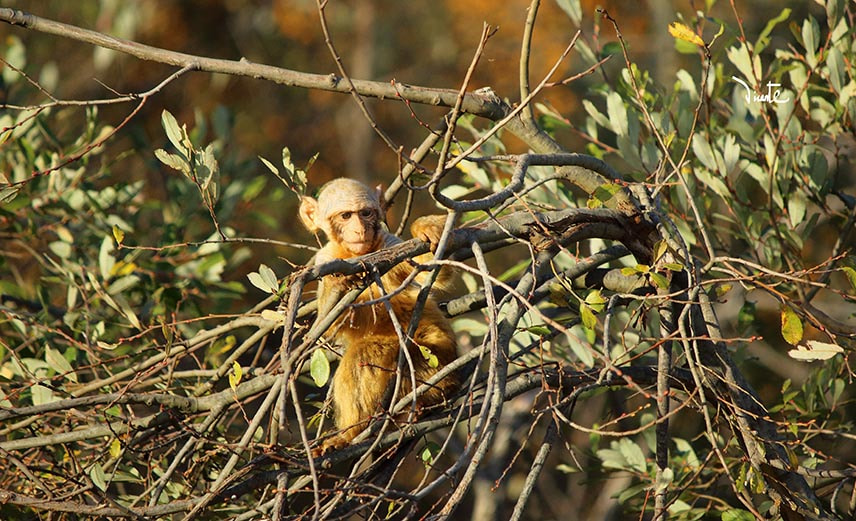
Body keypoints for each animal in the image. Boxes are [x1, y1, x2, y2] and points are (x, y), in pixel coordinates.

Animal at [298, 178, 459, 455]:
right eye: (345, 216)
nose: (359, 229)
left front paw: (426, 227)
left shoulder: (388, 246)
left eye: (365, 213)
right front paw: (336, 285)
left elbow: (438, 271)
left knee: (366, 354)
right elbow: (325, 326)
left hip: (436, 361)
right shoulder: (325, 260)